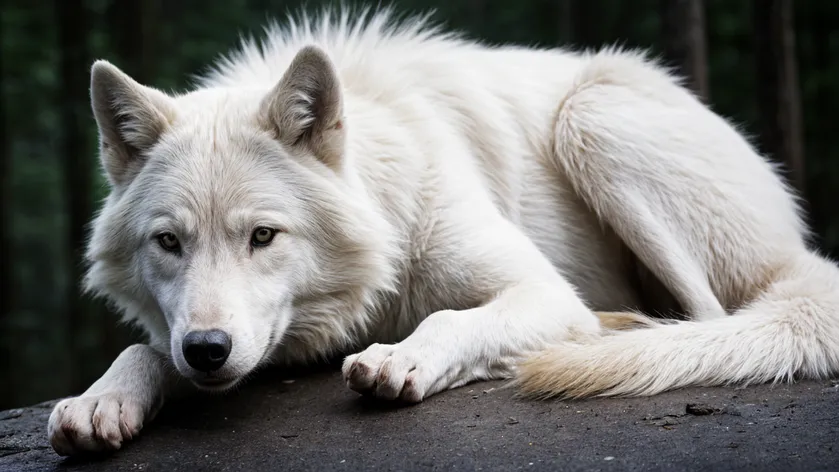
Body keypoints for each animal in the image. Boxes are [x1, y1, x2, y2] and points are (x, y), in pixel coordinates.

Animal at [47, 7, 839, 456]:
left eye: (264, 237)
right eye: (168, 243)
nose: (208, 350)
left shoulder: (541, 292)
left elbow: (452, 320)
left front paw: (401, 358)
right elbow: (143, 351)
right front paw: (100, 400)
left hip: (592, 120)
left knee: (706, 316)